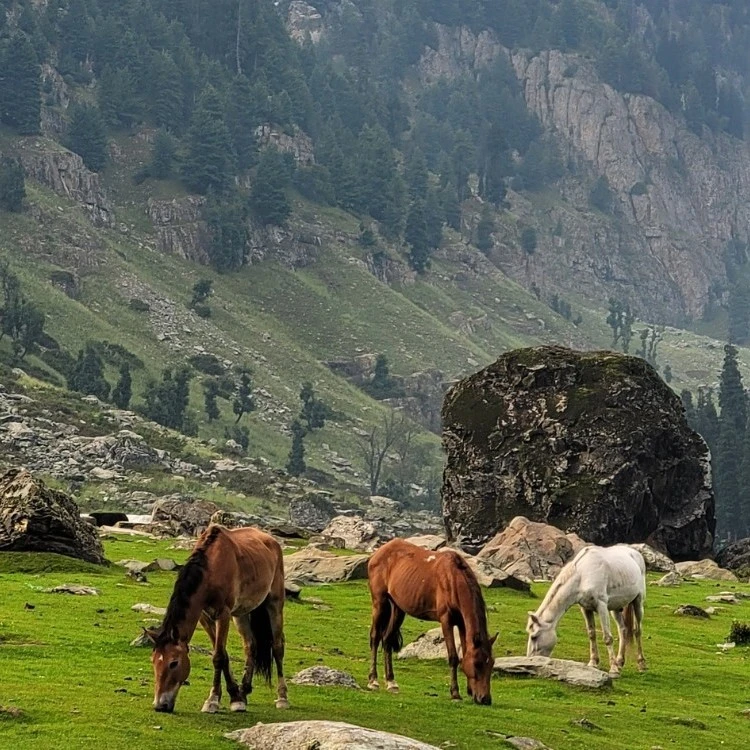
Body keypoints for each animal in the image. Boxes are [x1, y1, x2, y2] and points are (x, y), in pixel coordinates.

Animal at [144, 524, 290, 712]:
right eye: (154, 661)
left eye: (174, 663)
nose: (160, 705)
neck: (211, 568)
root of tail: (271, 541)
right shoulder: (205, 617)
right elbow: (223, 654)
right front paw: (235, 697)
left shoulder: (223, 614)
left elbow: (218, 657)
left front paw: (212, 700)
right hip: (241, 614)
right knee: (250, 646)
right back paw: (244, 691)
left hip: (274, 605)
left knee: (278, 647)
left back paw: (282, 697)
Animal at [366, 540, 496, 704]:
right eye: (478, 664)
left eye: (492, 663)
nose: (485, 699)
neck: (453, 579)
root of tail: (378, 553)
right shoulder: (446, 620)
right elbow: (453, 657)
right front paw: (455, 693)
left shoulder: (461, 623)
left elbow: (465, 651)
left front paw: (469, 690)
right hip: (380, 603)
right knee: (375, 638)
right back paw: (373, 681)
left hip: (398, 609)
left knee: (387, 640)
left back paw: (391, 682)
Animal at [528, 544, 648, 680]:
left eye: (534, 637)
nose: (530, 660)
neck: (583, 575)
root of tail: (635, 553)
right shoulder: (586, 608)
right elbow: (591, 634)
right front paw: (593, 662)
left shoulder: (601, 605)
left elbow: (607, 638)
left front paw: (613, 670)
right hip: (616, 608)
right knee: (623, 630)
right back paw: (620, 662)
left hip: (638, 601)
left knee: (637, 631)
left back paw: (641, 664)